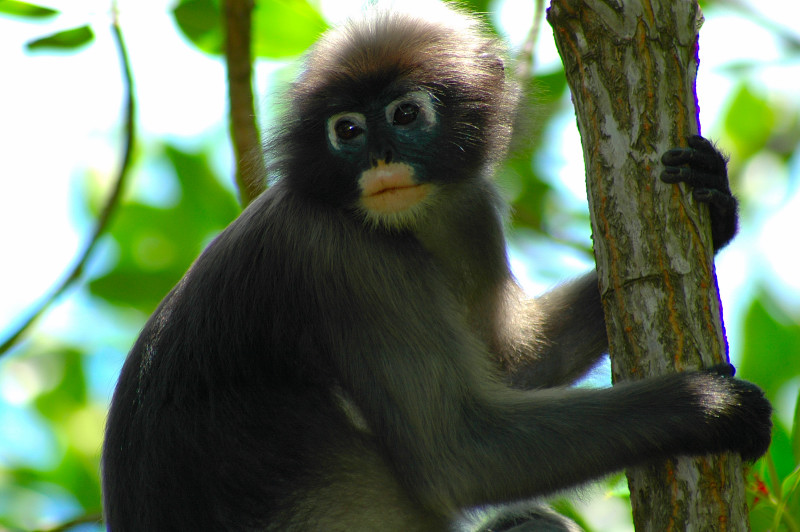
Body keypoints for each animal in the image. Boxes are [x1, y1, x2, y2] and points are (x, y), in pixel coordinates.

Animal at [100, 5, 768, 532]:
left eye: (404, 115)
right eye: (347, 129)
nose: (379, 157)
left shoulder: (472, 212)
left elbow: (513, 366)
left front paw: (717, 206)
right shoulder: (344, 256)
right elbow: (462, 453)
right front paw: (708, 407)